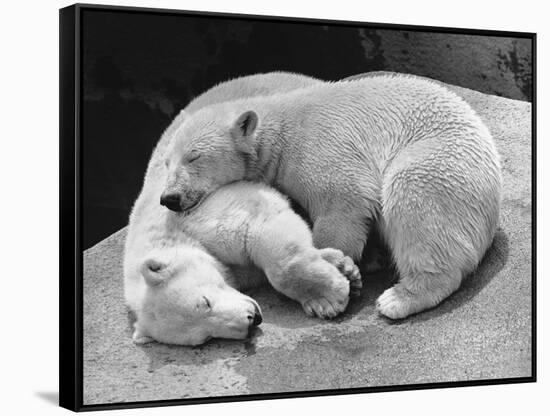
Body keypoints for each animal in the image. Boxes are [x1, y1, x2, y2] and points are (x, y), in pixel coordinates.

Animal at [124, 73, 362, 346]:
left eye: (205, 301)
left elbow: (262, 229)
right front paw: (343, 267)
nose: (251, 320)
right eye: (205, 338)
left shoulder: (207, 215)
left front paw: (329, 297)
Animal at [163, 72, 504, 318]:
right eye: (167, 161)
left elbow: (343, 201)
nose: (169, 198)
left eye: (193, 157)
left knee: (415, 203)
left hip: (439, 162)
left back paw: (400, 297)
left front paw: (338, 269)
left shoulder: (319, 148)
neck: (278, 129)